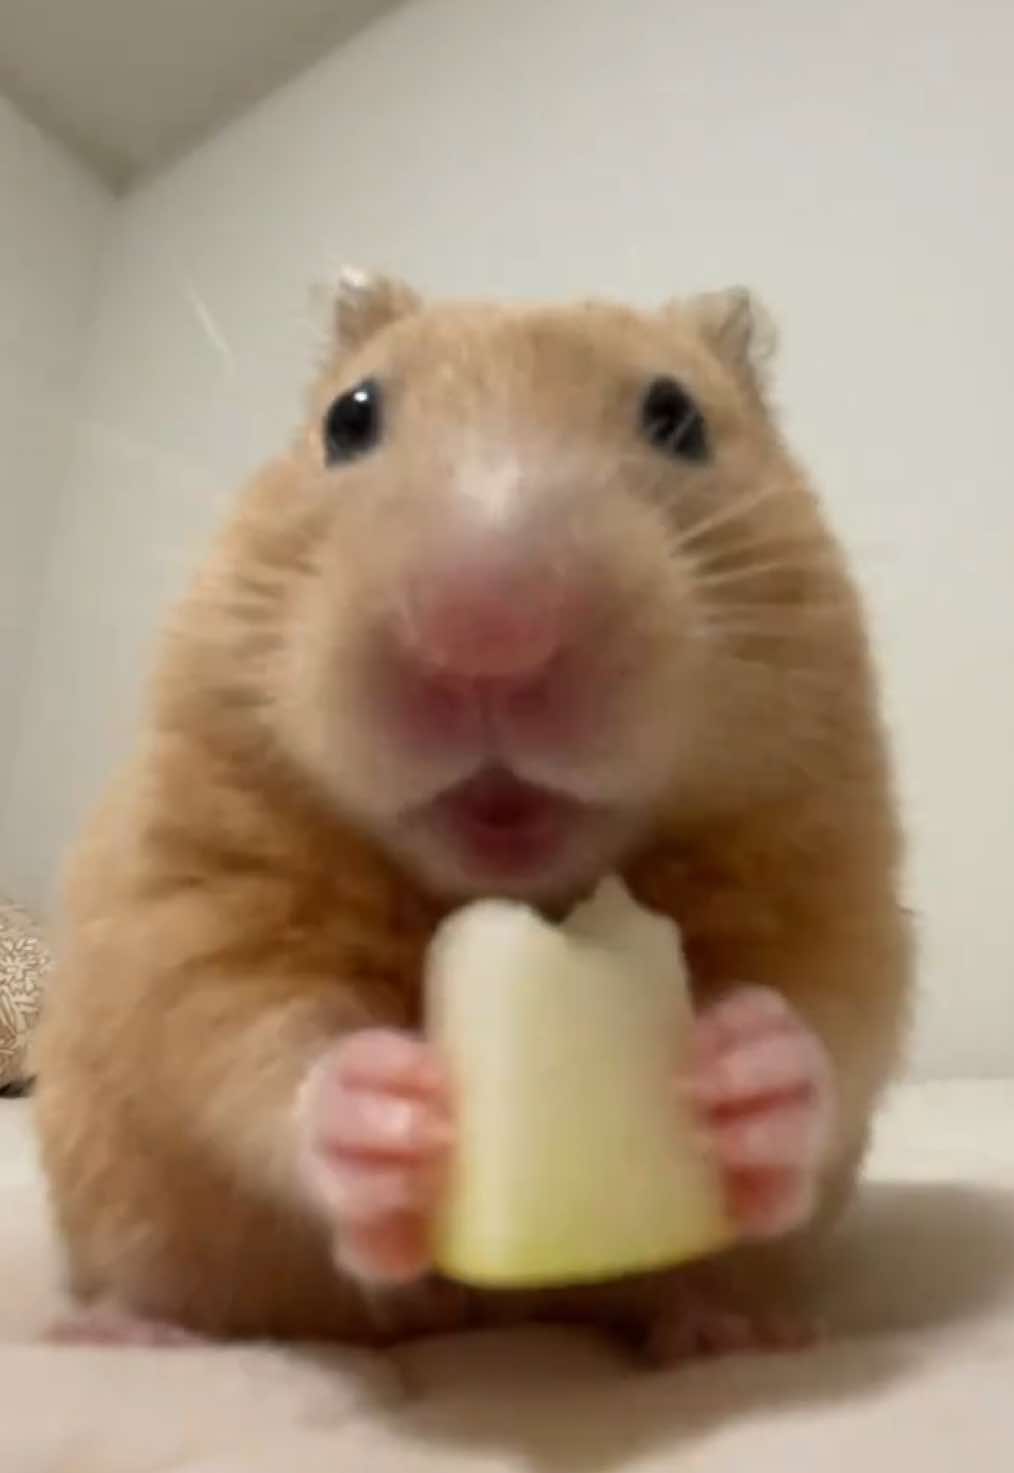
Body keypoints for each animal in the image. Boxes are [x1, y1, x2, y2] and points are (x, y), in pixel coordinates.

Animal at [34, 273, 911, 1352]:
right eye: (349, 418)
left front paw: (743, 1068)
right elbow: (254, 1035)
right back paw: (122, 1330)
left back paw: (727, 1330)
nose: (488, 635)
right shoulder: (195, 892)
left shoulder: (835, 876)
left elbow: (832, 1017)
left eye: (678, 419)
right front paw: (390, 1109)